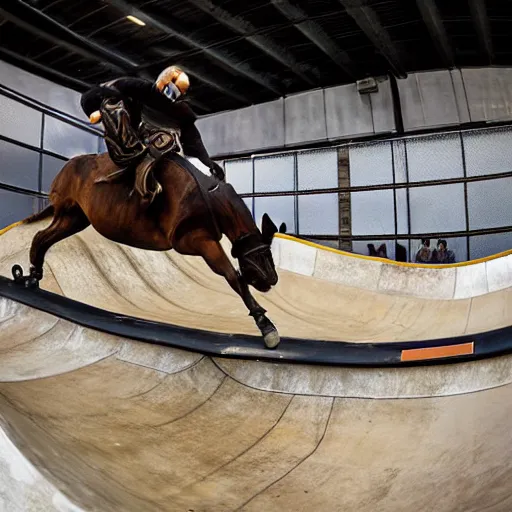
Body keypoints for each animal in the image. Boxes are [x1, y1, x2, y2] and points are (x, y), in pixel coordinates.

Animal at [12, 151, 280, 348]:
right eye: (262, 255)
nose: (272, 279)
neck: (210, 197)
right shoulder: (194, 241)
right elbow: (233, 276)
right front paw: (264, 323)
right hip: (69, 213)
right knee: (43, 236)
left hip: (74, 217)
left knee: (42, 237)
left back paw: (31, 276)